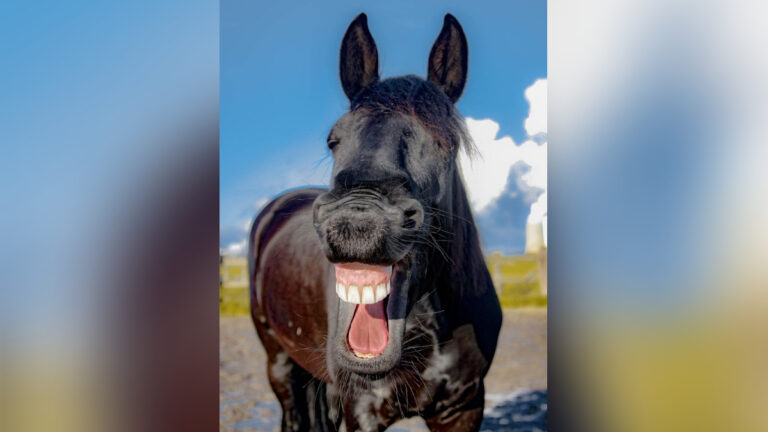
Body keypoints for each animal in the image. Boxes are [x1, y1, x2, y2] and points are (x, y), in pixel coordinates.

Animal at [248, 13, 502, 432]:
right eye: (334, 139)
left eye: (446, 143)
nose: (356, 222)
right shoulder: (361, 410)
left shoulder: (463, 407)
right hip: (280, 365)